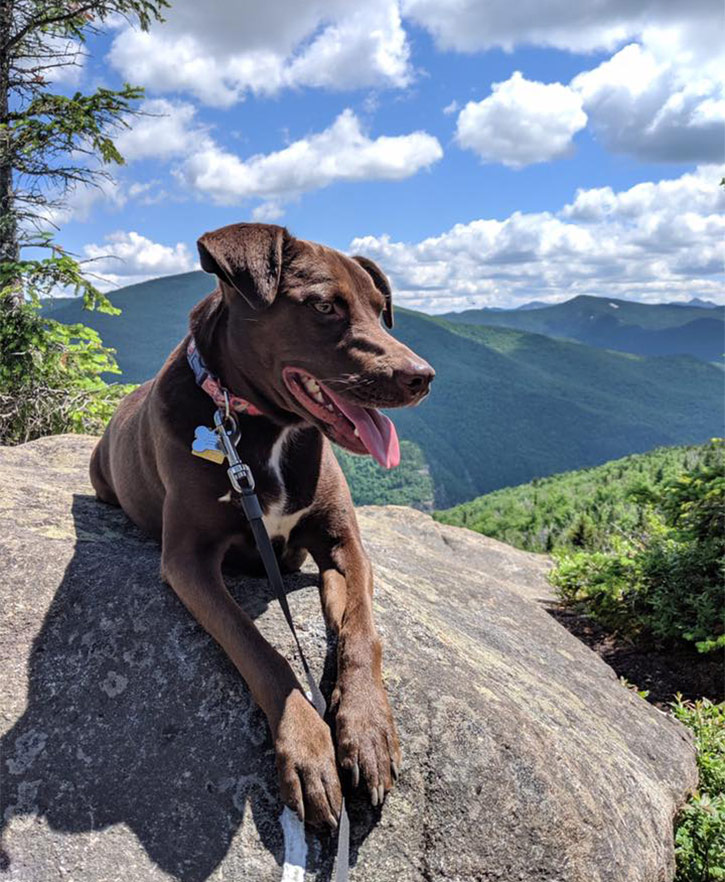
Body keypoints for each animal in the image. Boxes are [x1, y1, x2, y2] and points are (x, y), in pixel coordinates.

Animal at [88, 220, 432, 824]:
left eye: (379, 307)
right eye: (324, 306)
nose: (423, 377)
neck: (263, 433)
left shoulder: (343, 543)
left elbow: (362, 632)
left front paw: (365, 727)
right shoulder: (188, 561)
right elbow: (258, 648)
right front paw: (309, 746)